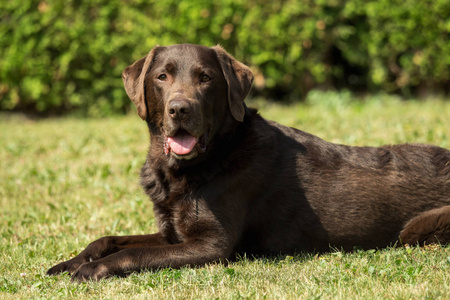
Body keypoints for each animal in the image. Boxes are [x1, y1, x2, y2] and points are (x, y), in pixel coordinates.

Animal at [46, 44, 450, 282]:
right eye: (162, 77)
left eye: (205, 78)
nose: (179, 109)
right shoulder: (172, 233)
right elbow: (109, 238)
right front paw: (69, 262)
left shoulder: (210, 246)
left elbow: (136, 254)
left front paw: (91, 270)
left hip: (416, 230)